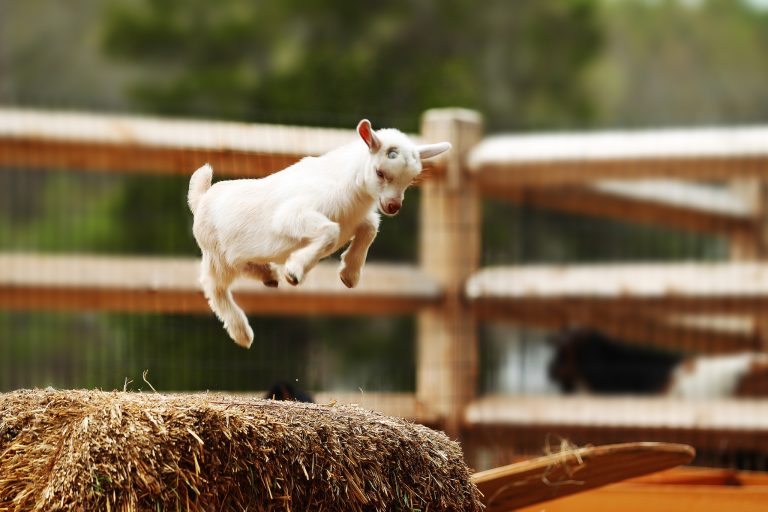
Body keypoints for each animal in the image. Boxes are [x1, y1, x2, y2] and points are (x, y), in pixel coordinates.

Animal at [188, 119, 450, 348]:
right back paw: (242, 332)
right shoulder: (290, 216)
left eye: (411, 179)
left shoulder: (356, 220)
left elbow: (370, 228)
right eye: (380, 172)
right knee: (214, 288)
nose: (393, 206)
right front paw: (295, 271)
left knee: (242, 266)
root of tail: (201, 199)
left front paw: (349, 274)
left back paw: (268, 275)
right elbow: (331, 231)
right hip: (216, 255)